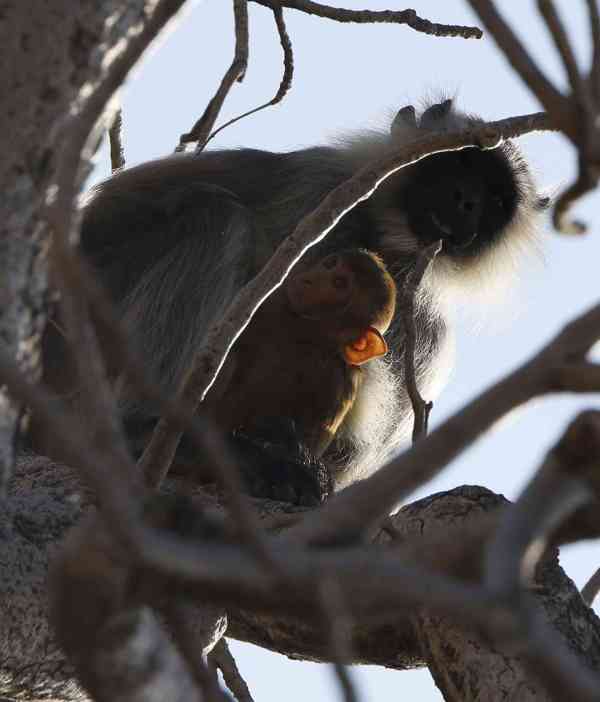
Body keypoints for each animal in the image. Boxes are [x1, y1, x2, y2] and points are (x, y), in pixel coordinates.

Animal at [38, 98, 549, 496]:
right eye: (458, 166)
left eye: (495, 200)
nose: (466, 200)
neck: (385, 240)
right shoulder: (321, 192)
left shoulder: (429, 326)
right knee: (216, 217)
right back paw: (146, 429)